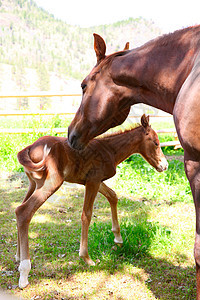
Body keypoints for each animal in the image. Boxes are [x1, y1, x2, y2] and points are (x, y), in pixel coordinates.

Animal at [14, 115, 167, 288]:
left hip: (34, 184)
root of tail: (29, 148)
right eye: (156, 142)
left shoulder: (95, 180)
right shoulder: (93, 181)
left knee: (19, 209)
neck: (110, 149)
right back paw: (24, 272)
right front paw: (86, 257)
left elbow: (113, 196)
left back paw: (18, 256)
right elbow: (86, 214)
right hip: (51, 182)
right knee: (24, 211)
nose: (165, 165)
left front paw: (118, 238)